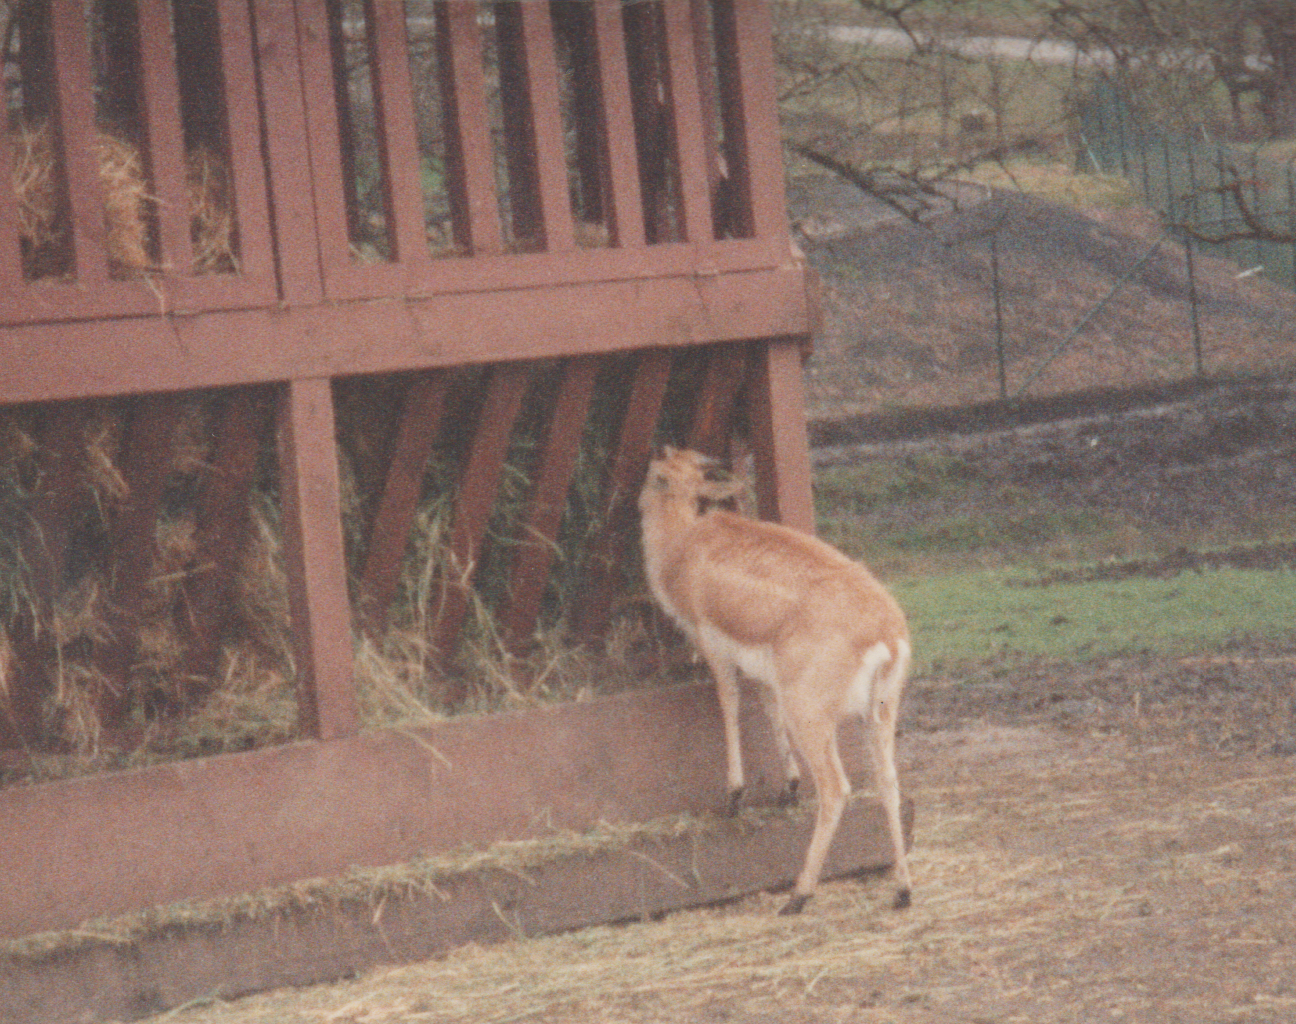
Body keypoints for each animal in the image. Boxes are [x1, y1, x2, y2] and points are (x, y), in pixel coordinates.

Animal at [640, 445, 912, 912]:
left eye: (654, 472)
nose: (635, 502)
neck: (682, 546)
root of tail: (886, 635)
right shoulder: (766, 674)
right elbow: (767, 710)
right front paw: (788, 787)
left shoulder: (712, 646)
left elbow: (728, 702)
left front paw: (734, 796)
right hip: (877, 714)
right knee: (888, 782)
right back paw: (902, 891)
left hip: (814, 715)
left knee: (837, 789)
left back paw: (798, 896)